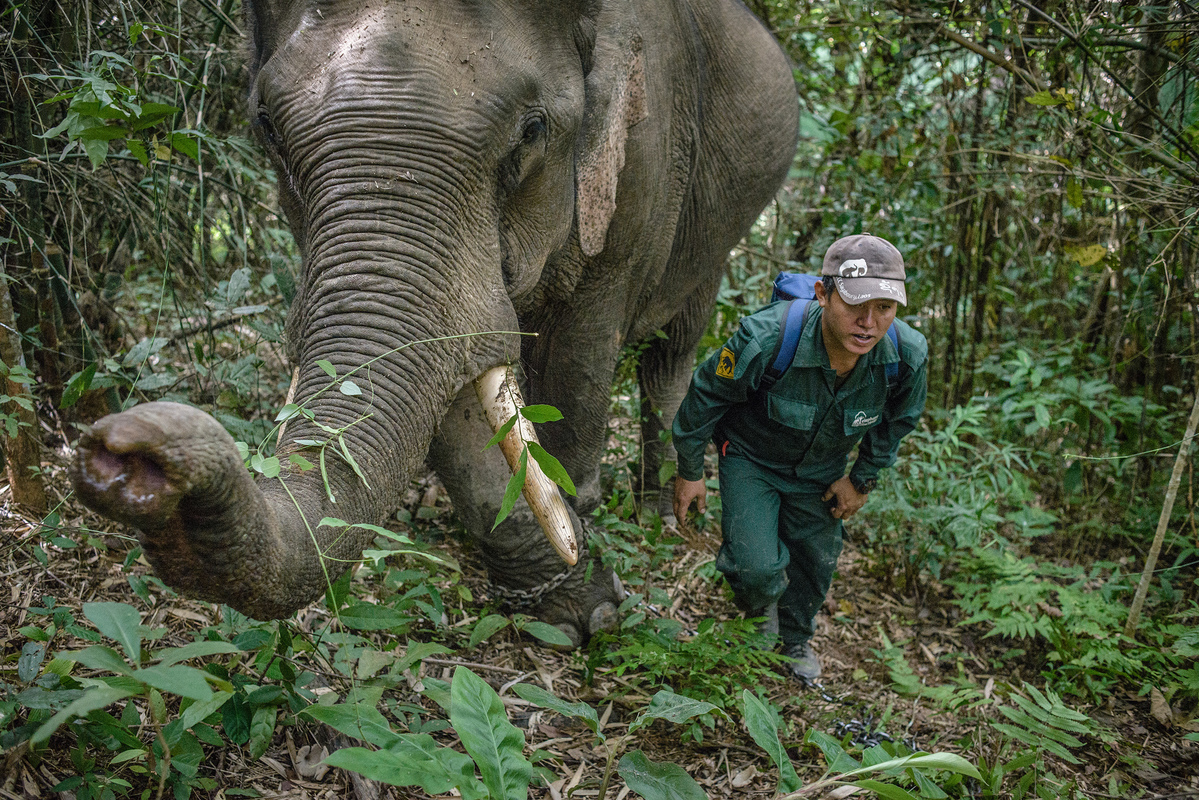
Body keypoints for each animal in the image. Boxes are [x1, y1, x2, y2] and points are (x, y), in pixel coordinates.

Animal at [70, 0, 800, 647]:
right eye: (268, 127)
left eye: (531, 130)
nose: (125, 453)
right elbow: (460, 397)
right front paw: (563, 608)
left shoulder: (641, 172)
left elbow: (578, 360)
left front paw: (594, 610)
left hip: (718, 225)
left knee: (673, 351)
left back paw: (663, 510)